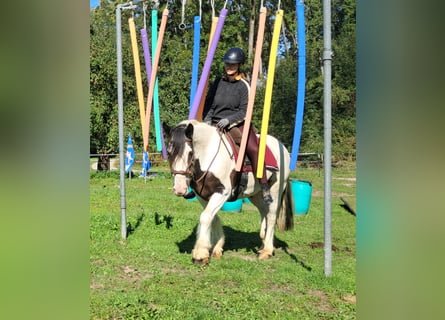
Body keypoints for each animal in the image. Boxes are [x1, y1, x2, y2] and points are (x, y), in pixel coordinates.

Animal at [161, 120, 294, 264]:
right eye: (169, 153)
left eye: (190, 153)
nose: (179, 189)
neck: (208, 154)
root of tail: (282, 147)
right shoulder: (203, 196)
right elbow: (212, 217)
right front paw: (217, 247)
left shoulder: (222, 192)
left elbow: (205, 217)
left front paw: (200, 254)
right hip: (256, 194)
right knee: (264, 212)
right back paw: (263, 245)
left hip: (276, 190)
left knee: (271, 216)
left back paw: (267, 251)